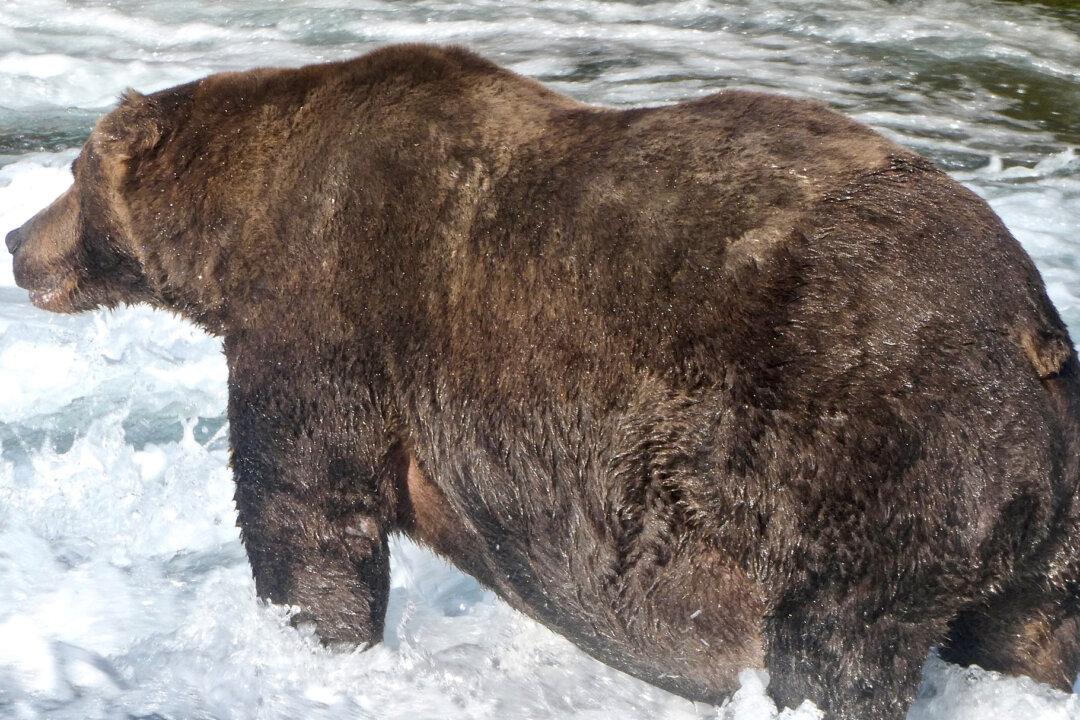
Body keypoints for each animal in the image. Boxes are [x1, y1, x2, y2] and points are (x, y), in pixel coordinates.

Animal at [6, 44, 1079, 719]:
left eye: (71, 172)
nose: (17, 240)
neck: (236, 230)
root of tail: (1030, 322)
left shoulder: (328, 306)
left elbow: (305, 508)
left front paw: (311, 639)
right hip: (1036, 495)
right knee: (1033, 628)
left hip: (869, 446)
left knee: (834, 648)